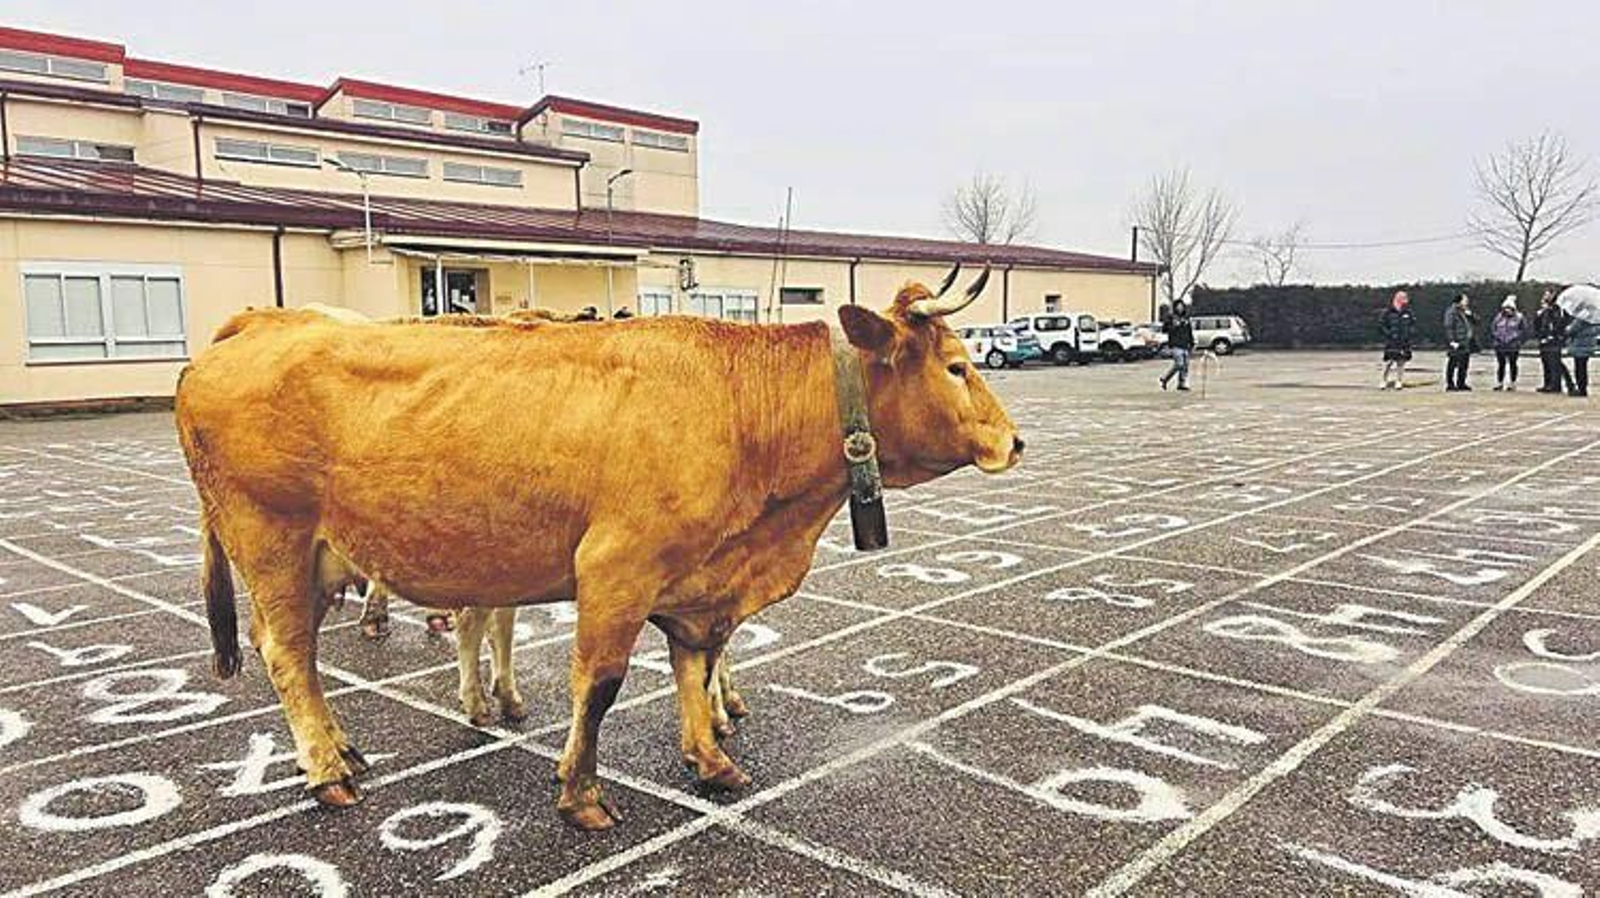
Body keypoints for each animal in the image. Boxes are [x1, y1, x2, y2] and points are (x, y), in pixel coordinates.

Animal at [176, 268, 1020, 829]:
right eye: (956, 366)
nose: (1015, 441)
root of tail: (262, 324)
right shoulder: (617, 568)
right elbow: (602, 684)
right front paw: (580, 793)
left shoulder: (697, 581)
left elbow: (693, 664)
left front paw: (710, 758)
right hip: (274, 544)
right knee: (289, 657)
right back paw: (327, 773)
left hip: (317, 562)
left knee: (307, 659)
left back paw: (344, 750)